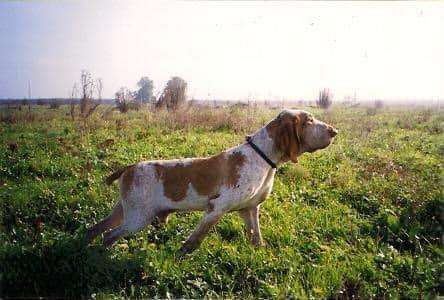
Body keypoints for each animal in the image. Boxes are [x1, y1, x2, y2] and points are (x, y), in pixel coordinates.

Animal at [86, 109, 336, 252]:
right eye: (309, 121)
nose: (334, 131)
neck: (261, 156)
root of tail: (129, 168)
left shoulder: (249, 209)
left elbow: (256, 238)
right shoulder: (217, 208)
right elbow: (193, 242)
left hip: (124, 213)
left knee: (94, 229)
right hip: (137, 219)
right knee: (108, 236)